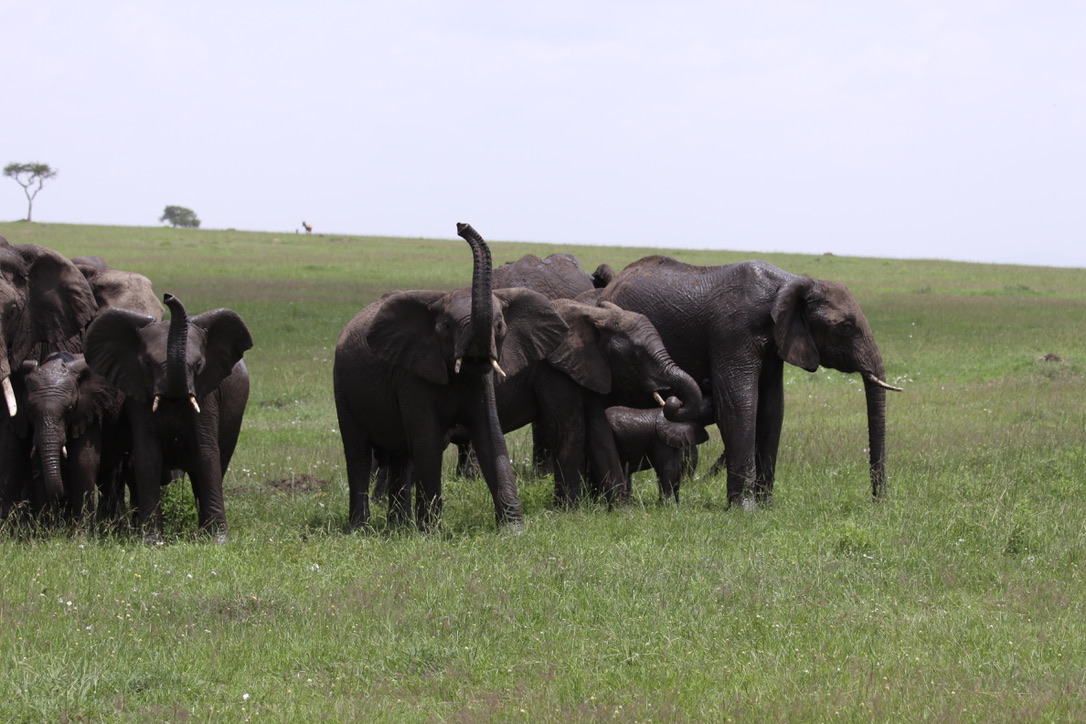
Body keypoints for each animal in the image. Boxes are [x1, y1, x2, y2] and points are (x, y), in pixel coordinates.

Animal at [8, 353, 128, 522]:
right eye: (28, 410)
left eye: (70, 409)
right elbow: (38, 463)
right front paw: (47, 526)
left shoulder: (88, 411)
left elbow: (84, 462)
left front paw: (82, 528)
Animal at [83, 294, 253, 542]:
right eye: (147, 364)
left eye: (199, 365)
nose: (168, 297)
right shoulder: (138, 394)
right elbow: (148, 457)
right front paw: (152, 541)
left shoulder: (206, 393)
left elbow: (206, 453)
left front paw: (218, 540)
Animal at [334, 223, 568, 532]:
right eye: (445, 327)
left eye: (499, 325)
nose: (461, 226)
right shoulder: (412, 372)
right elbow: (427, 441)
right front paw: (430, 532)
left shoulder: (480, 380)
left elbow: (490, 436)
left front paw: (513, 530)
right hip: (343, 386)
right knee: (359, 455)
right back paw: (362, 530)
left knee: (400, 457)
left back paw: (398, 528)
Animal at [599, 257, 901, 506]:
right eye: (846, 327)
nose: (878, 500)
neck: (790, 282)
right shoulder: (733, 331)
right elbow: (738, 403)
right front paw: (744, 509)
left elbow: (772, 407)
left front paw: (765, 506)